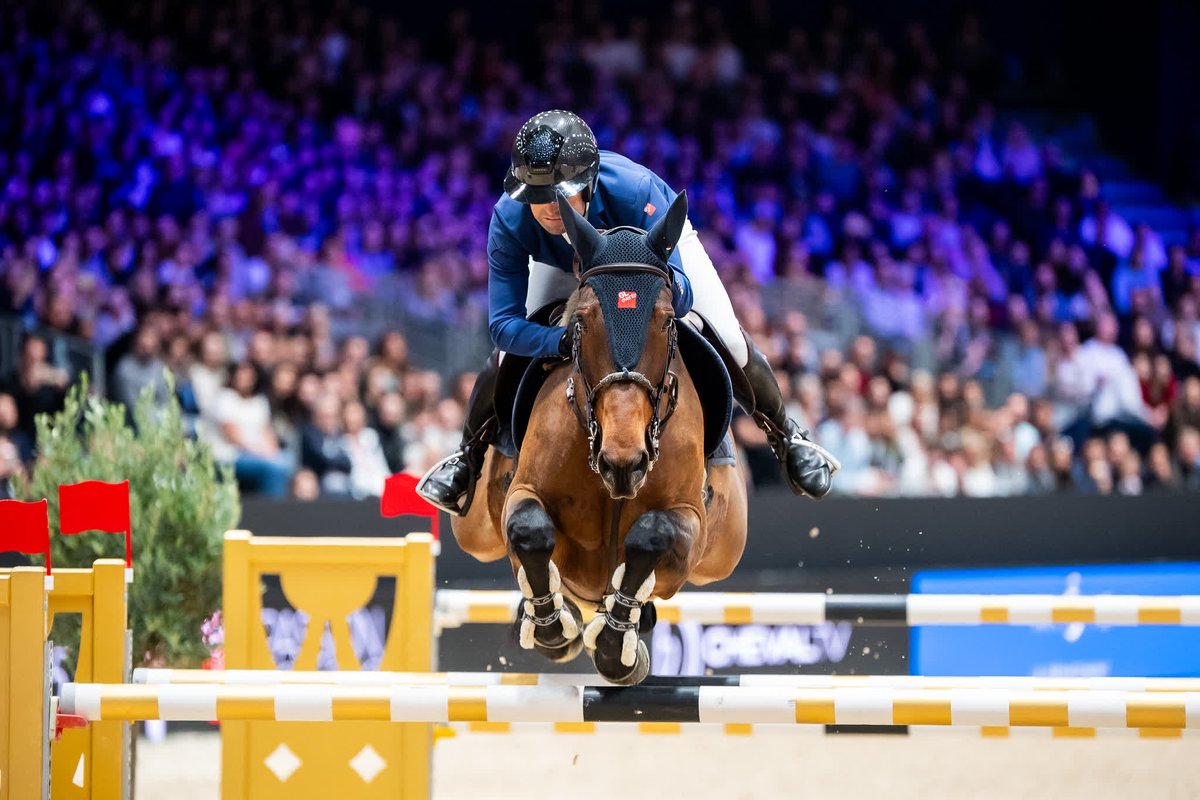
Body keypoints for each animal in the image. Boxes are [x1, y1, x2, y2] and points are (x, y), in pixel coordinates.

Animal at [450, 191, 748, 684]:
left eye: (667, 321)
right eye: (582, 323)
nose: (622, 463)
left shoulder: (692, 522)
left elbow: (651, 535)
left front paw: (614, 648)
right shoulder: (523, 491)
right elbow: (528, 529)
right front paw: (554, 629)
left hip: (723, 552)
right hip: (473, 530)